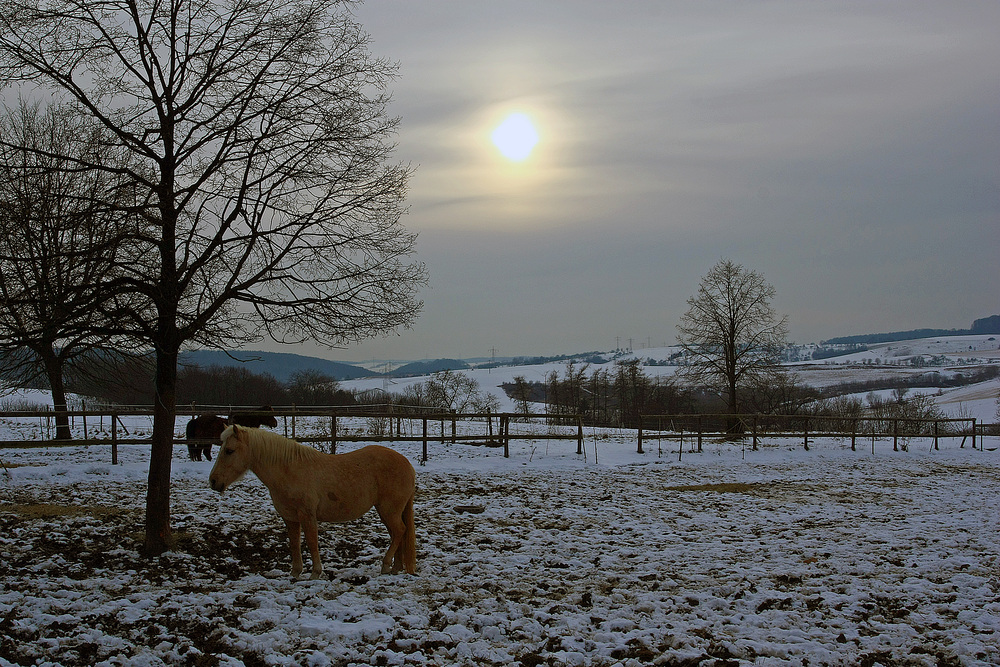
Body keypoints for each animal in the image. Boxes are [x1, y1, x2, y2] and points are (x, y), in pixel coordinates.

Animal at [209, 428, 416, 580]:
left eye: (229, 450)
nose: (213, 481)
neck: (289, 470)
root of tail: (407, 464)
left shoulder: (307, 515)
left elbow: (311, 542)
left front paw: (315, 573)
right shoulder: (290, 517)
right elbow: (294, 543)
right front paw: (295, 572)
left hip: (388, 510)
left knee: (399, 531)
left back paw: (386, 565)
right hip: (387, 511)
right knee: (398, 533)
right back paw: (396, 567)